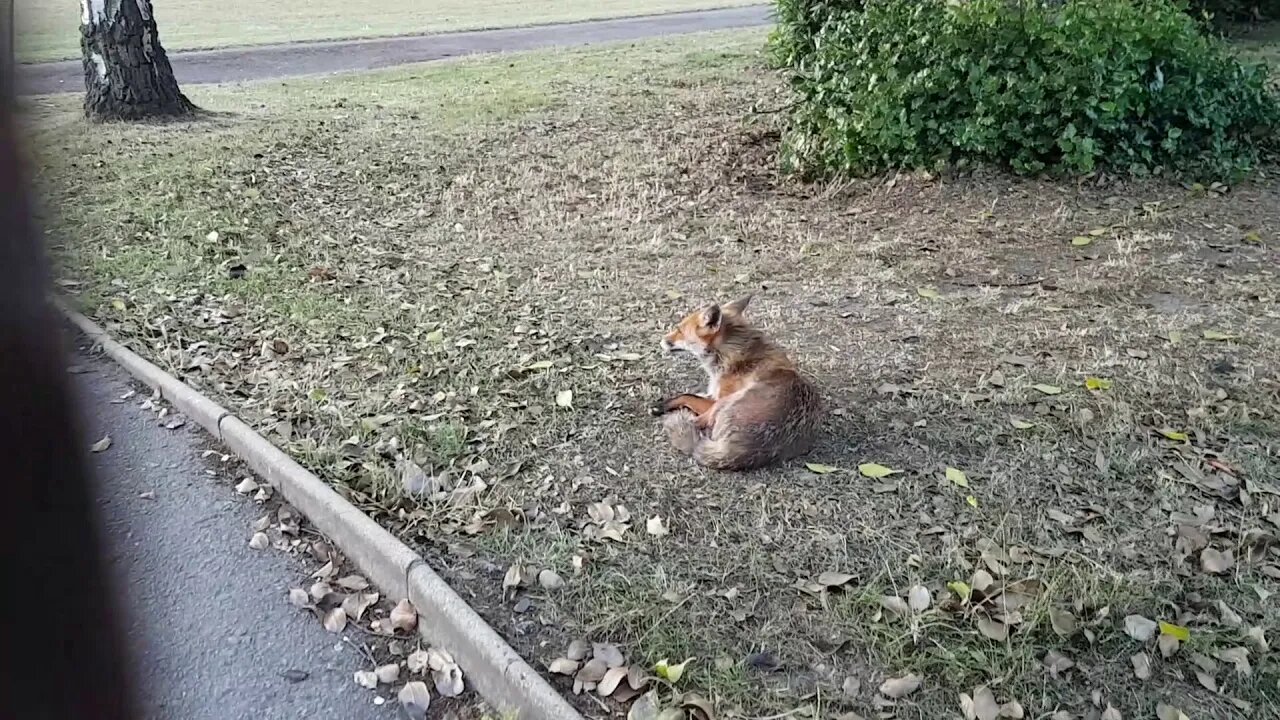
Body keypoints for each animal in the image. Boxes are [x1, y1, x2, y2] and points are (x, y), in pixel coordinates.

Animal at [654, 294, 822, 471]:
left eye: (679, 330)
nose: (662, 340)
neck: (731, 354)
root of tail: (742, 449)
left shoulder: (716, 399)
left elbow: (687, 396)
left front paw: (661, 405)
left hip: (725, 403)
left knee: (697, 423)